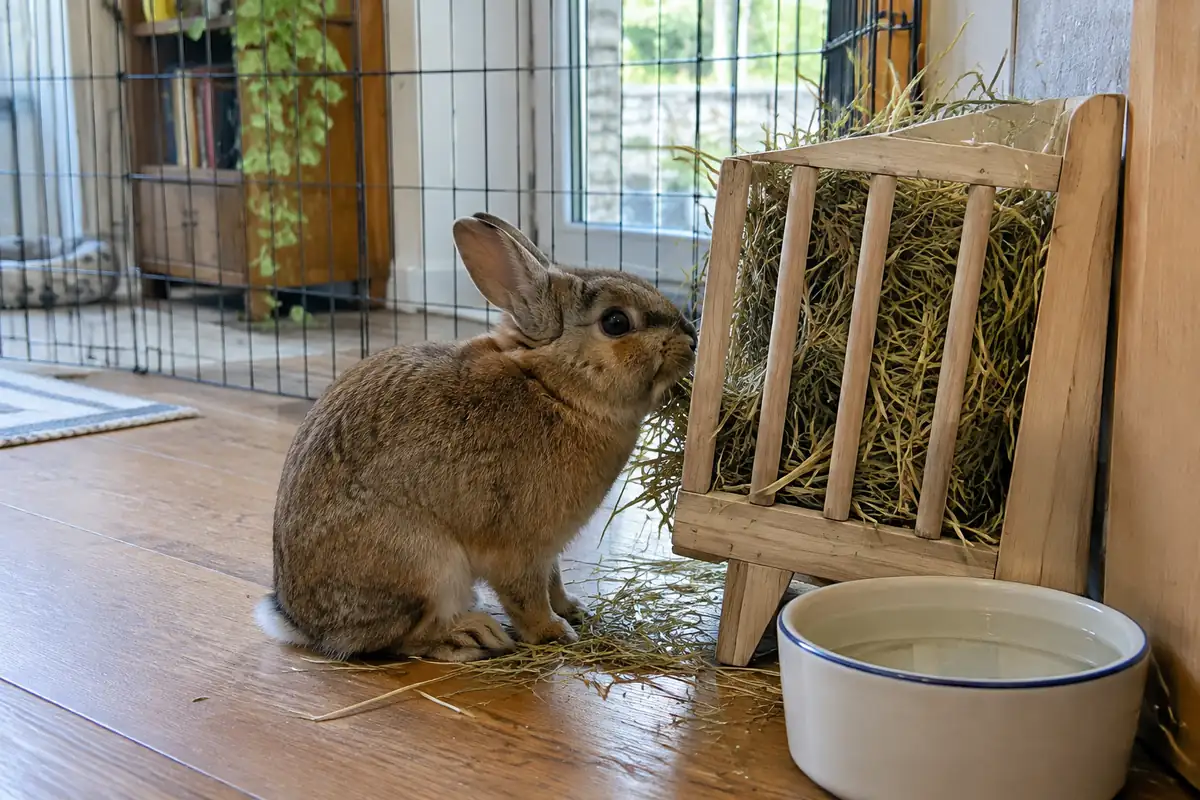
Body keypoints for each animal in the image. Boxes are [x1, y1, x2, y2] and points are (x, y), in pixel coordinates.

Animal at [254, 212, 698, 661]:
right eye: (616, 322)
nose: (692, 338)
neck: (556, 388)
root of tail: (302, 624)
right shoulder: (519, 548)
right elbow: (526, 595)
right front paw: (554, 632)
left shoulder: (548, 551)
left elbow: (553, 580)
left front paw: (573, 609)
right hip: (427, 565)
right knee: (403, 637)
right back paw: (473, 635)